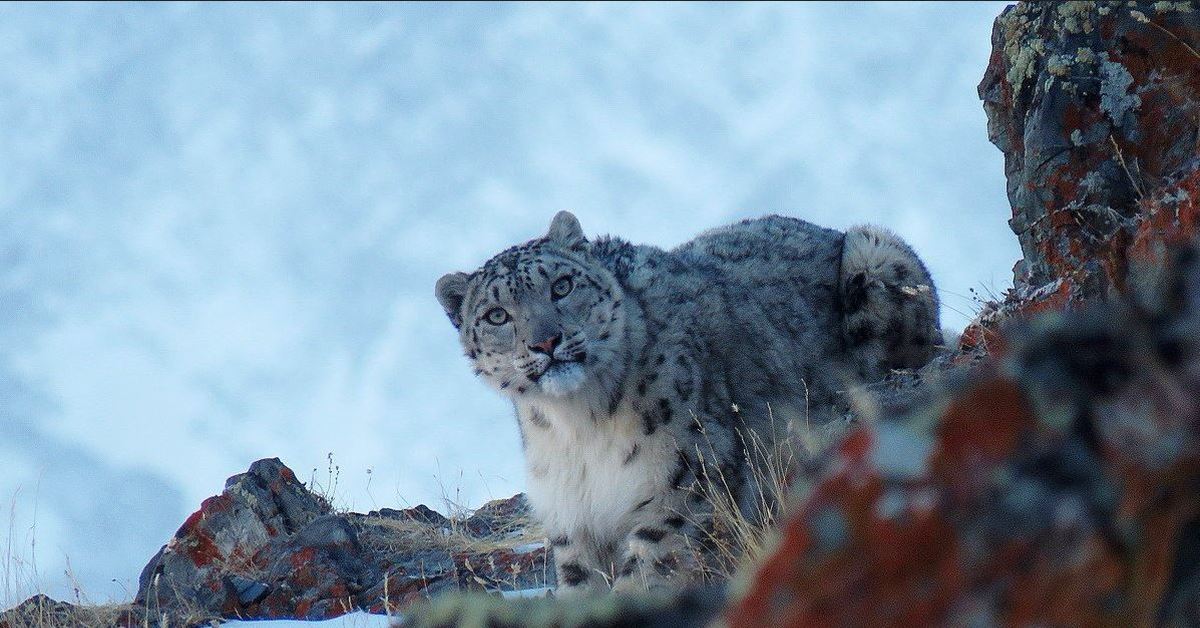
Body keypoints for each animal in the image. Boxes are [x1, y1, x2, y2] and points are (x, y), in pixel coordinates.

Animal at [436, 211, 940, 595]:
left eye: (561, 286)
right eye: (496, 315)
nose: (546, 341)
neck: (579, 426)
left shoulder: (686, 484)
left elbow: (647, 570)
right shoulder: (571, 518)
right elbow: (579, 585)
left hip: (875, 252)